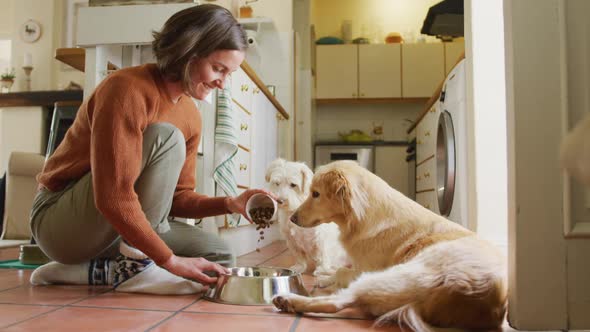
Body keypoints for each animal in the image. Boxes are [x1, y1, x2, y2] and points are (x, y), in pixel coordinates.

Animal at [272, 160, 508, 330]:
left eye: (316, 194)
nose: (292, 218)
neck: (364, 217)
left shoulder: (366, 269)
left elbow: (341, 271)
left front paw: (325, 278)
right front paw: (325, 276)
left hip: (392, 275)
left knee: (338, 302)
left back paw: (288, 300)